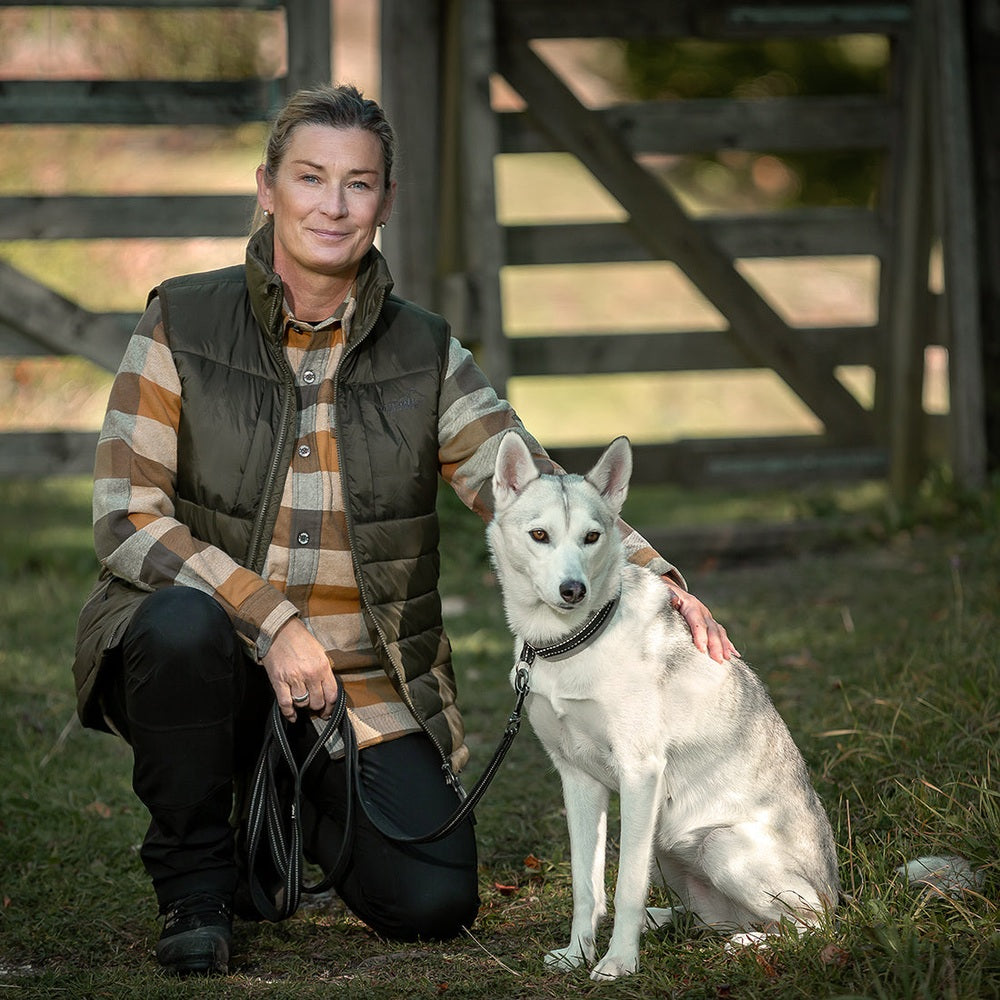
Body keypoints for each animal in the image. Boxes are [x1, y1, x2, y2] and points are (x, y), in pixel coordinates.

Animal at [487, 433, 840, 981]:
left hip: (717, 844)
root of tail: (842, 894)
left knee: (811, 925)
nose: (573, 590)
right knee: (705, 917)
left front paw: (617, 962)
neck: (570, 642)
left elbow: (625, 887)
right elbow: (587, 887)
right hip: (668, 845)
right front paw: (578, 953)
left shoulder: (639, 773)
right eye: (539, 535)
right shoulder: (577, 779)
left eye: (592, 537)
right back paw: (675, 923)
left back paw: (747, 944)